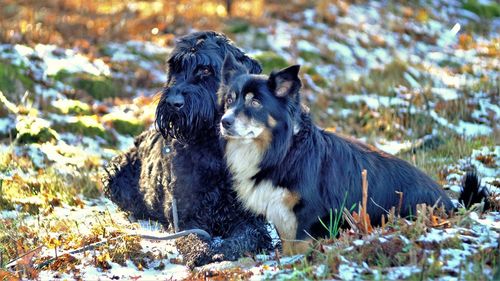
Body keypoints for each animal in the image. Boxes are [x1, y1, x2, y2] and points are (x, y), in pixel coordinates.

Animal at [101, 31, 272, 266]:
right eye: (176, 68)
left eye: (206, 69)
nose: (173, 103)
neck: (213, 149)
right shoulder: (185, 215)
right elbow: (192, 237)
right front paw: (201, 252)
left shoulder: (250, 218)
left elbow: (245, 237)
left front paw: (222, 251)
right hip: (115, 172)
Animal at [218, 55, 484, 253]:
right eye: (229, 100)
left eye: (255, 103)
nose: (224, 122)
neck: (284, 151)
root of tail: (451, 204)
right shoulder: (283, 217)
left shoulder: (308, 217)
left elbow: (300, 250)